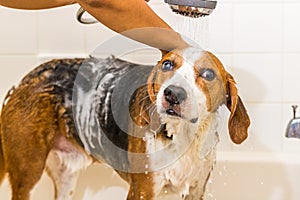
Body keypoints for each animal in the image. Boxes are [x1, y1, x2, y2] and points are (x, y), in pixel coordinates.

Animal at [0, 46, 250, 198]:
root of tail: (23, 81)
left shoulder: (196, 189)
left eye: (208, 74)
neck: (182, 136)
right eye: (167, 65)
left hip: (65, 177)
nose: (173, 94)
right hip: (28, 172)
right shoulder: (142, 191)